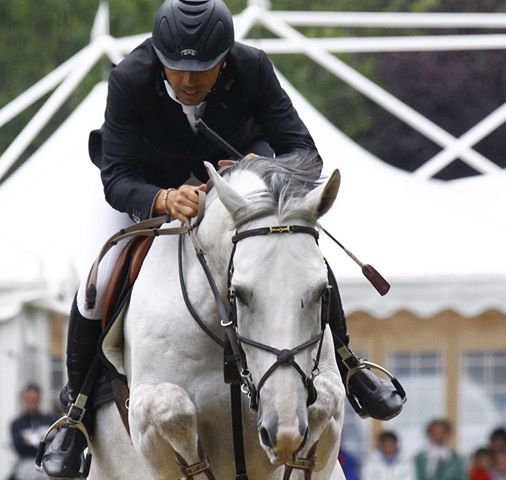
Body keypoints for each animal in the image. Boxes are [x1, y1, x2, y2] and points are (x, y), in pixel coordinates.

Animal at [89, 155, 346, 480]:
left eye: (323, 292)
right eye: (239, 293)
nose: (283, 432)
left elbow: (323, 403)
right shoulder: (145, 408)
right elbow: (173, 412)